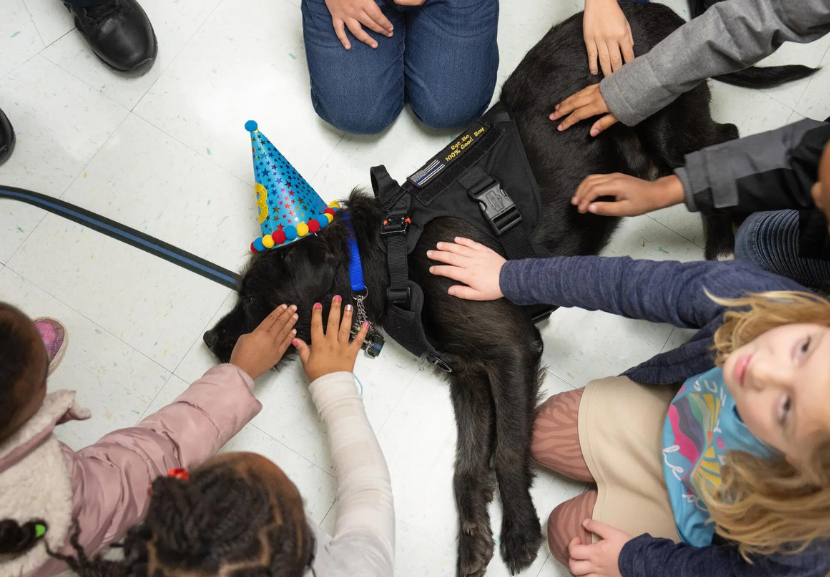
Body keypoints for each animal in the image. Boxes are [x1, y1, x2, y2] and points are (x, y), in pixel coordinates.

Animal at [205, 3, 808, 572]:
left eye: (255, 297)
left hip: (667, 121)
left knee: (719, 144)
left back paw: (724, 244)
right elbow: (468, 464)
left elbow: (509, 449)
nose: (211, 342)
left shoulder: (513, 349)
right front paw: (475, 540)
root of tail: (668, 14)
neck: (382, 256)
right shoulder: (469, 372)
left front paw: (520, 531)